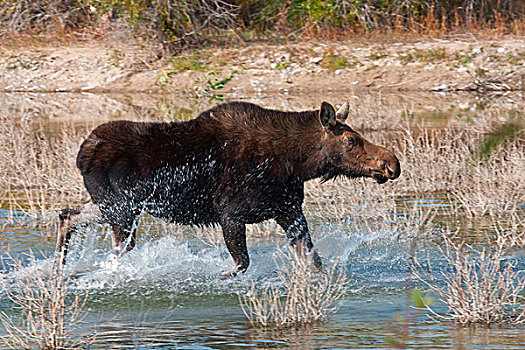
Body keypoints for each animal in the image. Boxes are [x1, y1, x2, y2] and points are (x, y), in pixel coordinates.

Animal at [57, 101, 400, 276]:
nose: (391, 164)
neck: (295, 163)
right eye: (351, 140)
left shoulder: (287, 209)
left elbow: (314, 260)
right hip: (121, 210)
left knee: (67, 215)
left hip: (109, 206)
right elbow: (240, 264)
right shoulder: (231, 214)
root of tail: (82, 153)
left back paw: (62, 266)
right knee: (115, 250)